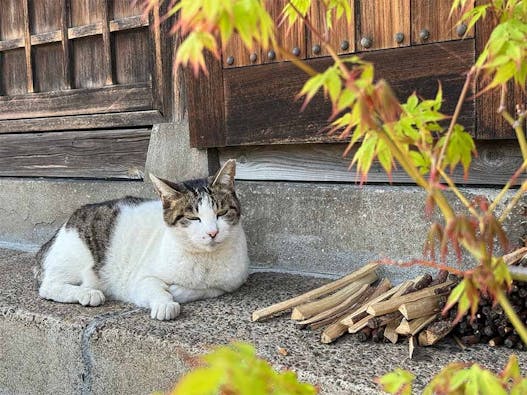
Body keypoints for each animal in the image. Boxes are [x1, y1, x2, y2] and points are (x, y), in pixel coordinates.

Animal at [34, 159, 250, 320]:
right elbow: (154, 287)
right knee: (49, 287)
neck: (204, 261)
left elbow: (207, 289)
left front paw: (178, 291)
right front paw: (165, 303)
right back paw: (87, 293)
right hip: (76, 258)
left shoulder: (229, 284)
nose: (212, 232)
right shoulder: (139, 280)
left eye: (221, 213)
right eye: (193, 218)